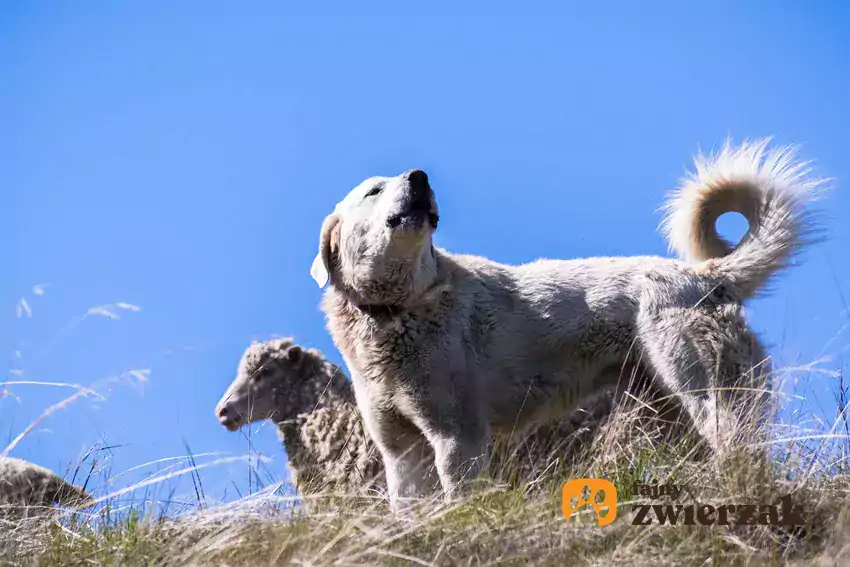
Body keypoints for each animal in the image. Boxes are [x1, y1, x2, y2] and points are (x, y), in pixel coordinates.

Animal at [310, 139, 820, 510]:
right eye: (373, 191)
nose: (419, 177)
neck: (400, 309)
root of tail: (709, 275)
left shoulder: (458, 439)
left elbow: (459, 500)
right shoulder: (402, 453)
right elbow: (408, 510)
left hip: (709, 395)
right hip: (669, 411)